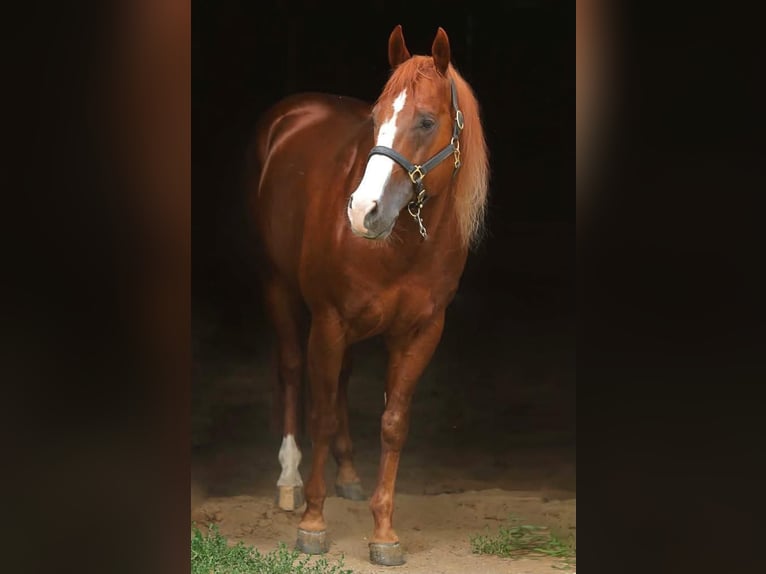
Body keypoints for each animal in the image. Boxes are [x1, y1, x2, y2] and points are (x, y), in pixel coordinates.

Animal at [247, 25, 489, 566]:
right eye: (376, 120)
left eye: (426, 121)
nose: (362, 211)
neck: (402, 248)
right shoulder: (329, 319)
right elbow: (318, 411)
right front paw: (313, 524)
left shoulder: (421, 332)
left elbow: (393, 422)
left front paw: (383, 532)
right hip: (278, 285)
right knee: (293, 371)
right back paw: (290, 482)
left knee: (341, 381)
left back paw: (350, 476)